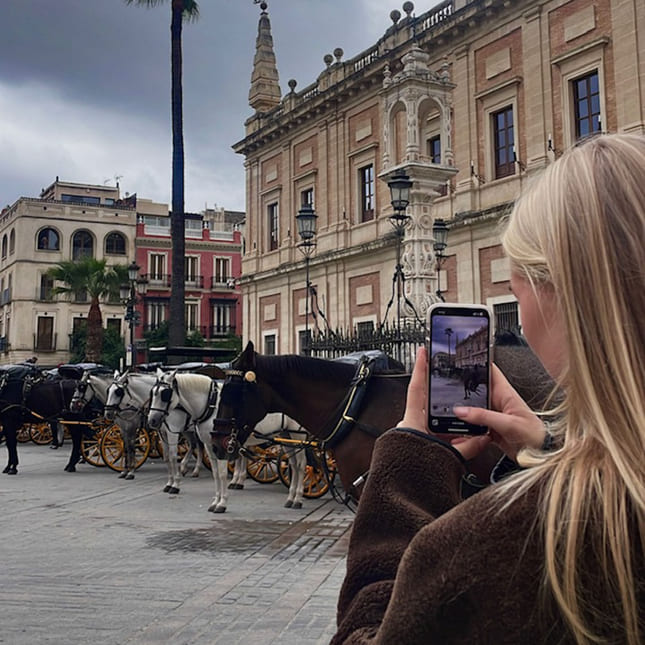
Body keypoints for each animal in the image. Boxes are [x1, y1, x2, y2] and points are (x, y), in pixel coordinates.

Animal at [147, 370, 308, 510]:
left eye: (164, 394)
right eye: (152, 393)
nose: (152, 420)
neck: (211, 406)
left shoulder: (222, 445)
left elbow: (223, 473)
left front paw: (222, 503)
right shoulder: (209, 445)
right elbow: (216, 473)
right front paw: (215, 501)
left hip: (298, 436)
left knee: (301, 465)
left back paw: (298, 499)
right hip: (286, 436)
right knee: (293, 464)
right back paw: (291, 498)